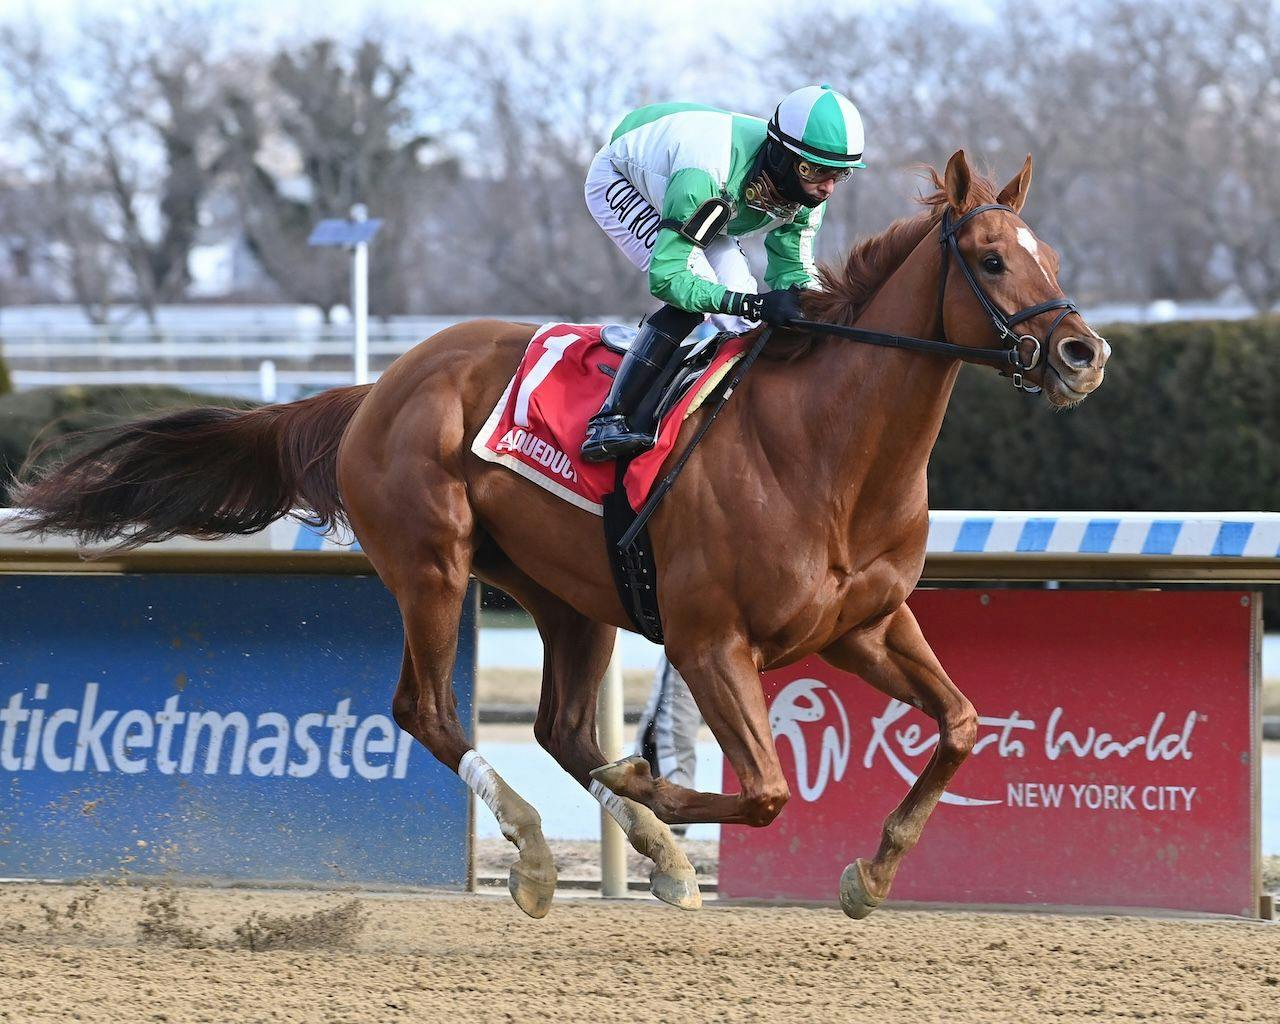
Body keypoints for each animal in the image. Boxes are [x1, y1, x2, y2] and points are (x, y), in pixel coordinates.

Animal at [12, 149, 1111, 921]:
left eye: (1053, 257)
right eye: (989, 258)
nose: (1081, 352)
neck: (827, 452)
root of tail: (380, 386)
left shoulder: (864, 627)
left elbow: (961, 723)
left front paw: (869, 873)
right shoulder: (712, 641)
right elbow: (762, 789)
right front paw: (655, 788)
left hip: (570, 595)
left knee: (561, 729)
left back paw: (654, 856)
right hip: (433, 564)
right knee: (427, 710)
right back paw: (538, 849)